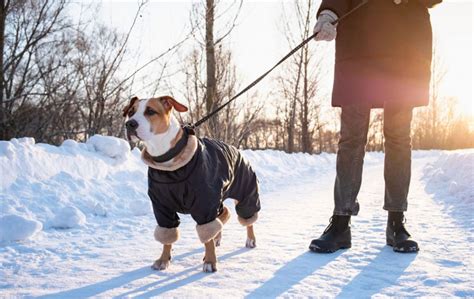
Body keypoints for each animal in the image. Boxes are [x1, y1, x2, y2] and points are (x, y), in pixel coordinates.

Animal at [122, 96, 262, 274]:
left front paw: (210, 261)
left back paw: (250, 239)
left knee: (247, 217)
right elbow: (167, 235)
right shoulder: (162, 206)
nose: (130, 124)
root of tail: (234, 148)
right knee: (224, 213)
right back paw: (218, 236)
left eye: (150, 111)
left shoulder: (204, 204)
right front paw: (163, 259)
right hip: (219, 199)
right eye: (131, 112)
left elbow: (206, 235)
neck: (169, 165)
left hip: (246, 192)